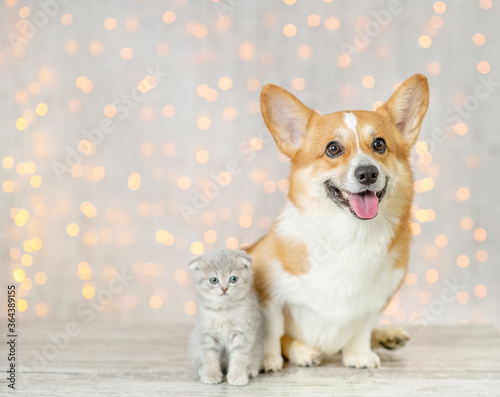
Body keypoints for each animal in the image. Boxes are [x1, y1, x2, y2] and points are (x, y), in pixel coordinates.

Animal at [188, 249, 264, 386]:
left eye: (233, 279)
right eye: (213, 280)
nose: (224, 289)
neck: (222, 310)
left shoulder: (243, 334)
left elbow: (239, 357)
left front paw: (237, 376)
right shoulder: (207, 334)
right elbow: (209, 356)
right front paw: (211, 375)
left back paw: (250, 369)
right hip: (194, 344)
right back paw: (202, 370)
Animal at [246, 72, 430, 370]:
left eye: (379, 144)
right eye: (333, 148)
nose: (367, 173)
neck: (350, 233)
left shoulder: (377, 300)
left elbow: (362, 327)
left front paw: (358, 354)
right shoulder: (268, 293)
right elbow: (272, 330)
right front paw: (266, 359)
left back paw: (387, 336)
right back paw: (304, 352)